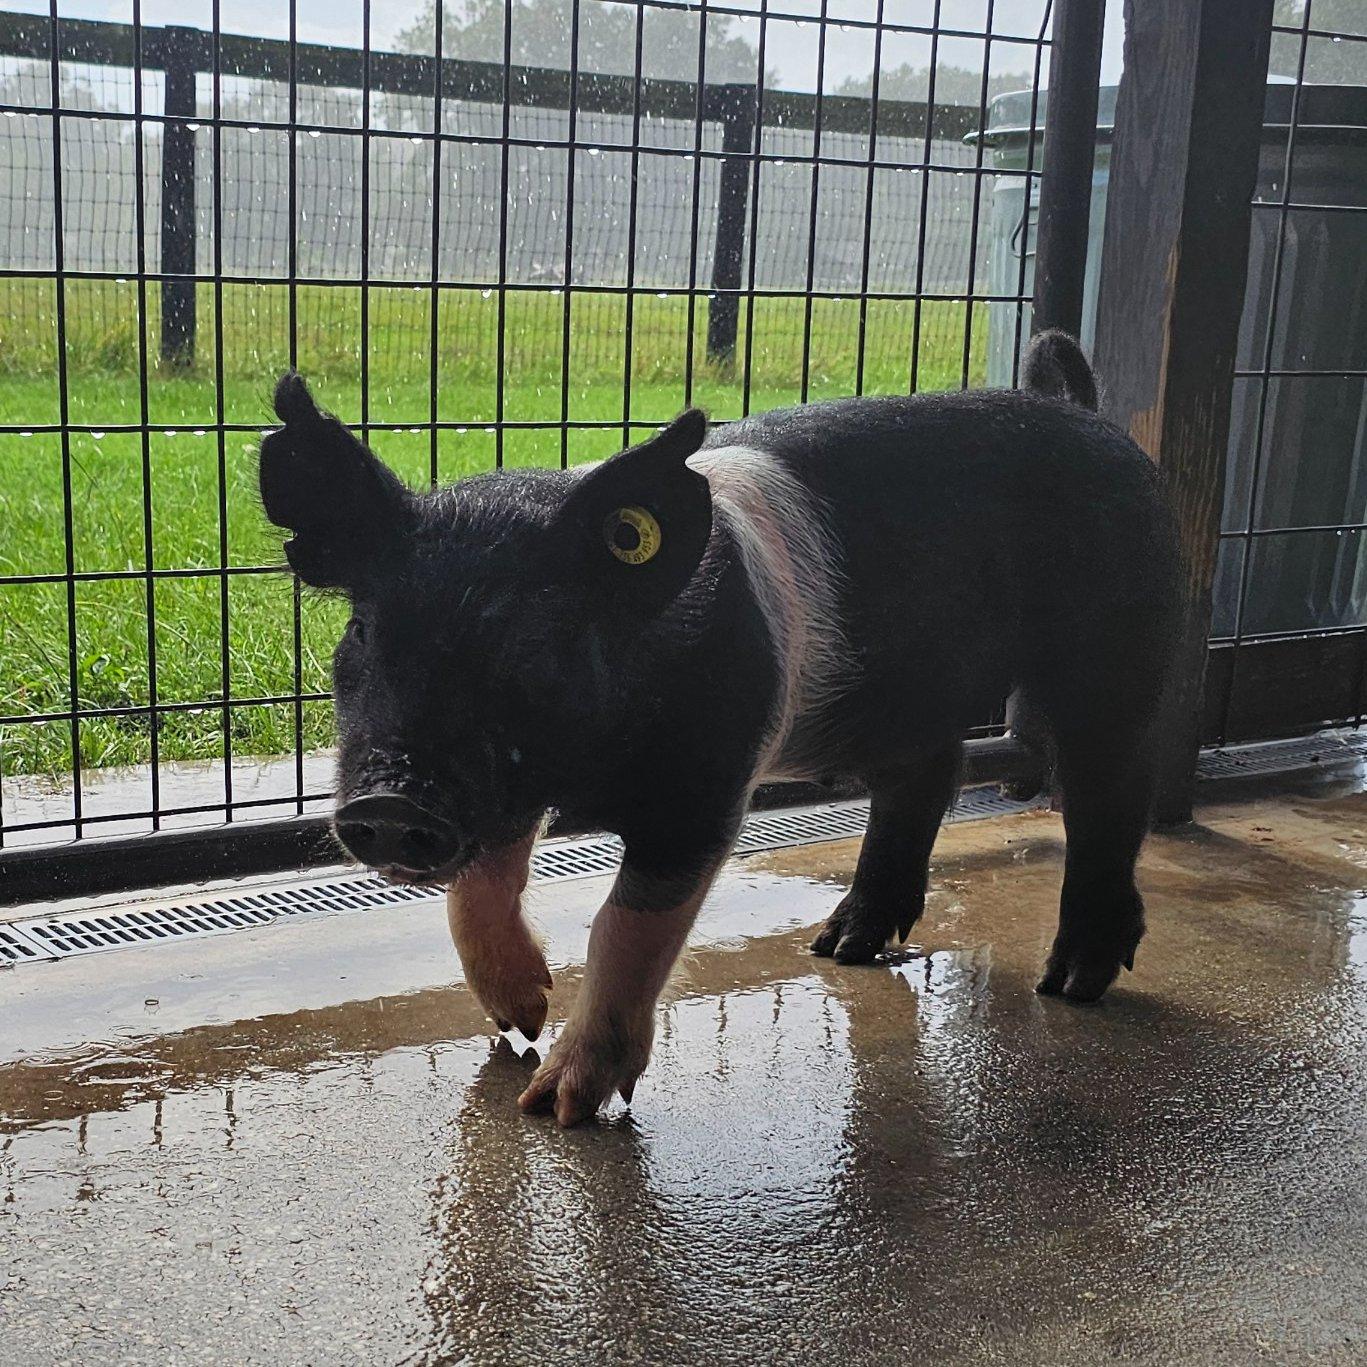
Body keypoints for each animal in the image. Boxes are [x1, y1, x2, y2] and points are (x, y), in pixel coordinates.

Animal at [258, 330, 1178, 1126]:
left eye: (530, 643)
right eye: (363, 631)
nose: (387, 804)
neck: (587, 770)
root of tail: (1084, 413)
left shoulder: (703, 782)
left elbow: (626, 923)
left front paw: (557, 1105)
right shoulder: (501, 789)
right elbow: (480, 884)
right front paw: (520, 1020)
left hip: (1117, 645)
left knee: (1108, 791)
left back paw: (1070, 982)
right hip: (903, 698)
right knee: (926, 776)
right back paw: (838, 947)